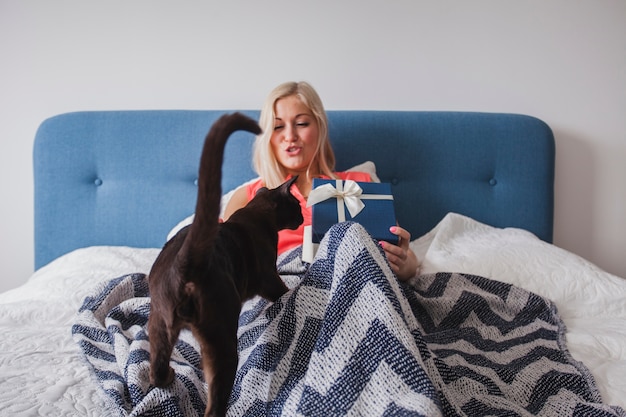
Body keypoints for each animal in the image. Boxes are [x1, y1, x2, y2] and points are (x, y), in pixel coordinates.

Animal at [147, 112, 302, 416]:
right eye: (298, 206)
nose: (303, 217)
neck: (258, 214)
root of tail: (183, 264)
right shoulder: (268, 277)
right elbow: (283, 290)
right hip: (222, 340)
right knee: (214, 404)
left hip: (157, 324)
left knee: (156, 370)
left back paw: (169, 377)